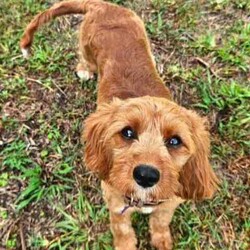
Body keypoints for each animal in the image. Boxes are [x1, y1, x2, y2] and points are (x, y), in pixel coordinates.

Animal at [20, 0, 218, 249]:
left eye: (175, 141)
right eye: (128, 132)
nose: (146, 175)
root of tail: (104, 6)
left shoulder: (168, 203)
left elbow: (161, 223)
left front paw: (162, 241)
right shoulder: (116, 206)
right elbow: (123, 231)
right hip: (86, 45)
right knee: (84, 58)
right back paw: (84, 70)